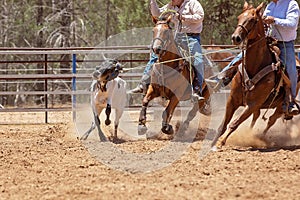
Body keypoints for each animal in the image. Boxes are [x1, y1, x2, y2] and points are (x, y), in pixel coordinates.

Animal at [213, 1, 300, 148]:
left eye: (253, 20)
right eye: (239, 17)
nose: (236, 38)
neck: (254, 66)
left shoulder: (253, 104)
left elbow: (234, 123)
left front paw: (221, 142)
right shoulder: (232, 100)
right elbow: (223, 125)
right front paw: (213, 142)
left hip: (280, 106)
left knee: (271, 120)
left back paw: (260, 137)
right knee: (257, 117)